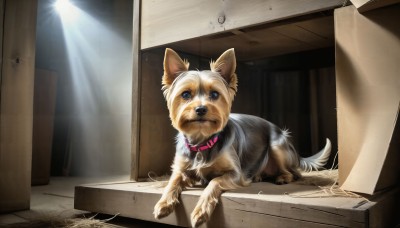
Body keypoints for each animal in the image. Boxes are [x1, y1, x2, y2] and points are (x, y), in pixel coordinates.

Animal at [153, 47, 332, 226]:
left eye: (214, 94)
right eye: (185, 95)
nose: (201, 109)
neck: (202, 140)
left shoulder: (235, 174)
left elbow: (214, 181)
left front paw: (200, 211)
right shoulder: (181, 168)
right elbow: (172, 182)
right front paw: (163, 204)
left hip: (277, 146)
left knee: (294, 173)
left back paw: (282, 177)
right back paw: (259, 175)